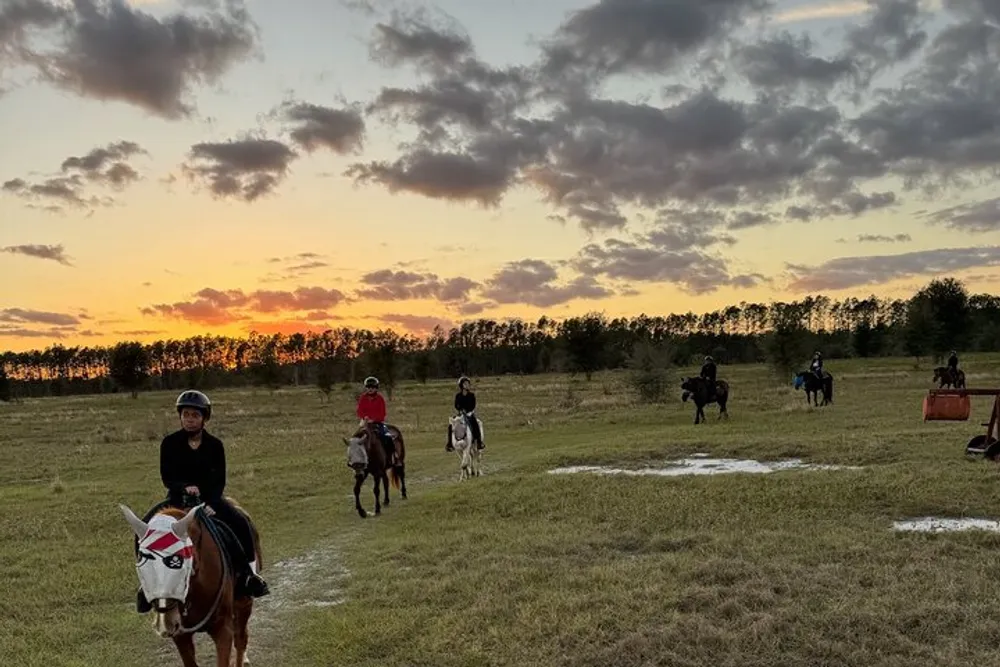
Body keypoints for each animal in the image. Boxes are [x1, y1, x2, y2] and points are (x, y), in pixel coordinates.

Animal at [119, 500, 262, 667]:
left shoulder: (223, 629)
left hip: (244, 603)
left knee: (241, 638)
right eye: (141, 563)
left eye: (178, 562)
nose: (165, 623)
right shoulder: (180, 635)